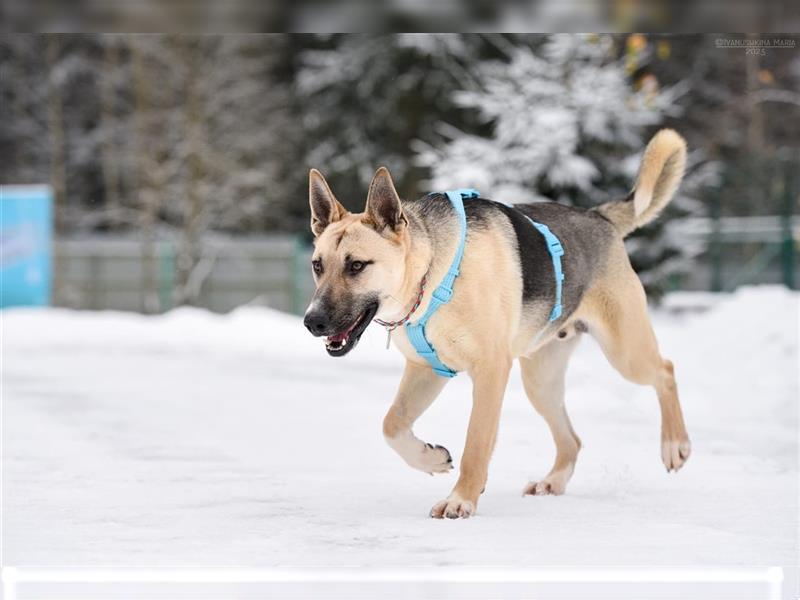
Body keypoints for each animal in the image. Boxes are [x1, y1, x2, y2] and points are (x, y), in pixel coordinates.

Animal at [304, 129, 692, 516]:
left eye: (357, 266)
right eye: (317, 265)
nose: (312, 322)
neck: (431, 275)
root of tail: (599, 217)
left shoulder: (490, 371)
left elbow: (476, 443)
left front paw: (461, 499)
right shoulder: (427, 370)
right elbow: (391, 425)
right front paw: (431, 459)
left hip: (624, 352)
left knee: (666, 370)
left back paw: (674, 444)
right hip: (541, 382)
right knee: (572, 440)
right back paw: (553, 481)